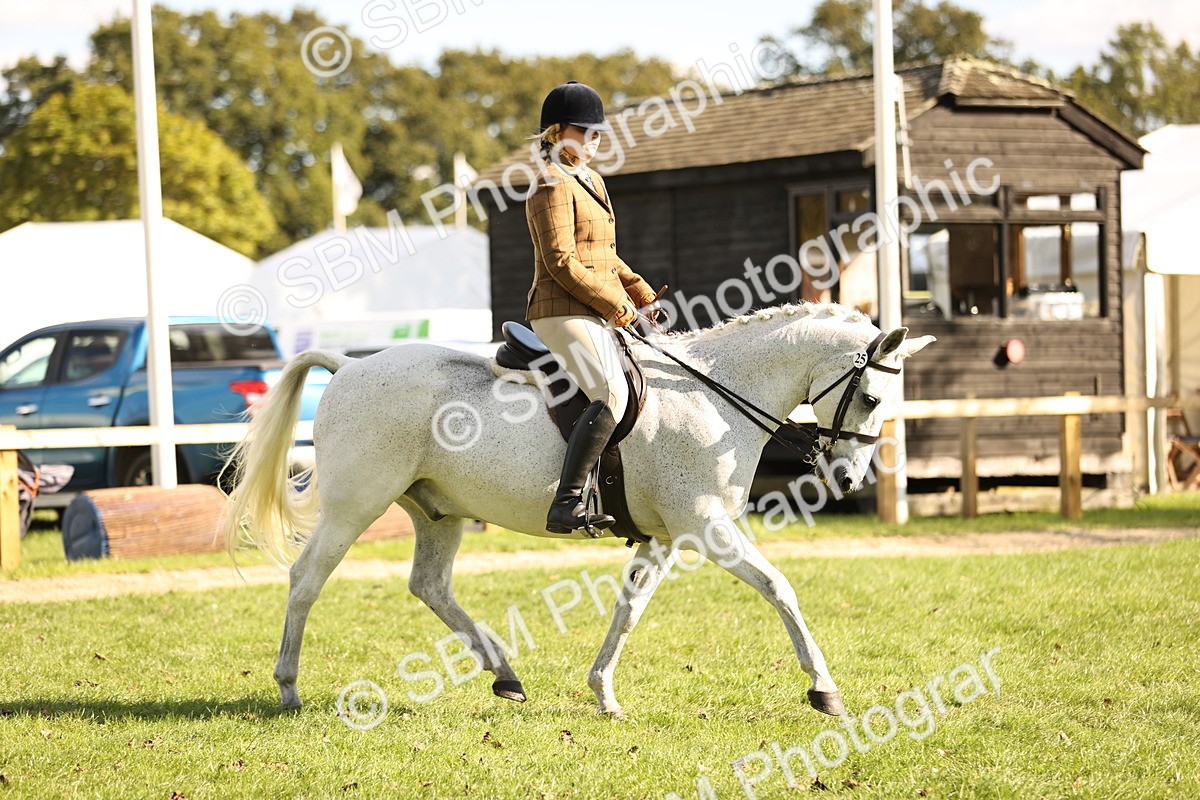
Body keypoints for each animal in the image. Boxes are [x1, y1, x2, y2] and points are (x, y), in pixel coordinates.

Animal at [221, 302, 934, 719]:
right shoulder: (706, 527)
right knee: (306, 581)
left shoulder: (663, 537)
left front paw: (604, 692)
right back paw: (288, 688)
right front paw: (824, 690)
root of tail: (346, 366)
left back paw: (506, 676)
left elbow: (629, 610)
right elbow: (781, 588)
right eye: (872, 397)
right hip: (355, 506)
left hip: (436, 512)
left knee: (429, 585)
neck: (714, 394)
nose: (848, 477)